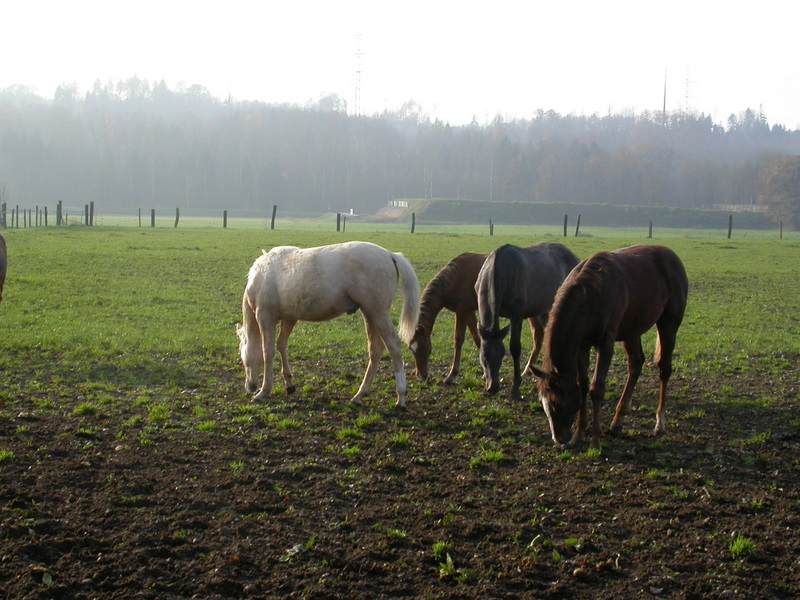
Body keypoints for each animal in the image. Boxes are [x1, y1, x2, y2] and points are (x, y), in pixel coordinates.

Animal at [236, 241, 420, 408]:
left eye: (243, 358)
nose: (250, 386)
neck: (260, 276)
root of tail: (390, 255)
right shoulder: (289, 318)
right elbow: (282, 345)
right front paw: (289, 384)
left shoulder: (265, 317)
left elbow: (268, 351)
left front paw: (263, 391)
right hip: (369, 313)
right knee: (375, 350)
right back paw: (360, 395)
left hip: (378, 312)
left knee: (394, 346)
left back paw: (401, 397)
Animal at [409, 252, 542, 384]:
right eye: (411, 348)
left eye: (424, 347)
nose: (421, 376)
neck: (454, 279)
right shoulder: (469, 312)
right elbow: (477, 338)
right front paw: (485, 373)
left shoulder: (462, 311)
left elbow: (458, 340)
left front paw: (452, 375)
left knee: (539, 335)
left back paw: (525, 374)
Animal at [476, 242, 579, 400]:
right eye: (484, 356)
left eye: (501, 355)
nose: (492, 387)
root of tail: (574, 258)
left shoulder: (517, 315)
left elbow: (515, 348)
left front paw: (515, 388)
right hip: (541, 310)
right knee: (540, 337)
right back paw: (528, 373)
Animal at [532, 245, 688, 450]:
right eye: (543, 403)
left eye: (557, 403)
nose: (559, 438)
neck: (589, 295)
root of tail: (672, 256)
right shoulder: (582, 345)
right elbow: (583, 384)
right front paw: (579, 434)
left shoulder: (605, 344)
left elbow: (597, 389)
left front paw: (595, 441)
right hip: (632, 330)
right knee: (635, 364)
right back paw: (617, 421)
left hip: (668, 323)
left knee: (664, 369)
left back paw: (659, 423)